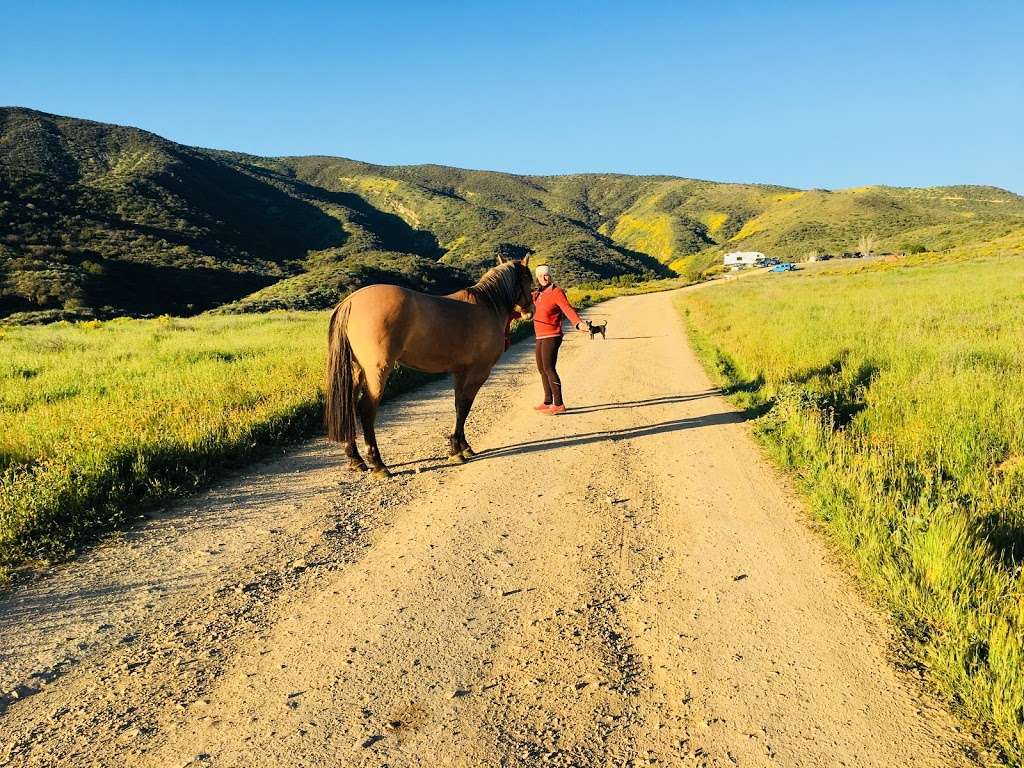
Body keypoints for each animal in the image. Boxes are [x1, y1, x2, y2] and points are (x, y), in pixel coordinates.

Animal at [325, 259, 536, 475]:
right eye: (528, 279)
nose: (531, 310)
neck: (488, 305)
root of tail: (350, 301)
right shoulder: (478, 372)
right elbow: (465, 406)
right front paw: (456, 451)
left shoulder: (461, 372)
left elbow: (459, 406)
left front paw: (463, 446)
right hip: (376, 372)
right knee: (366, 410)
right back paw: (378, 464)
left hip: (357, 370)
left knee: (350, 405)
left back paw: (356, 459)